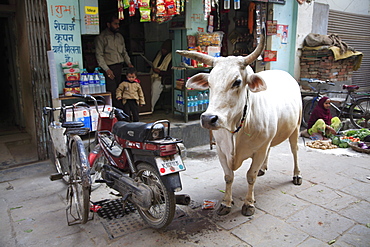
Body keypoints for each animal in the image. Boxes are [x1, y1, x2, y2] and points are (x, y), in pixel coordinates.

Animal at [178, 31, 302, 216]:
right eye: (209, 83)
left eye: (236, 82)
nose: (208, 119)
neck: (236, 127)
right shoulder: (221, 150)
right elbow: (228, 177)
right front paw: (226, 203)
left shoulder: (259, 150)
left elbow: (251, 176)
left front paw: (249, 203)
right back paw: (264, 168)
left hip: (296, 127)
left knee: (294, 151)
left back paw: (297, 175)